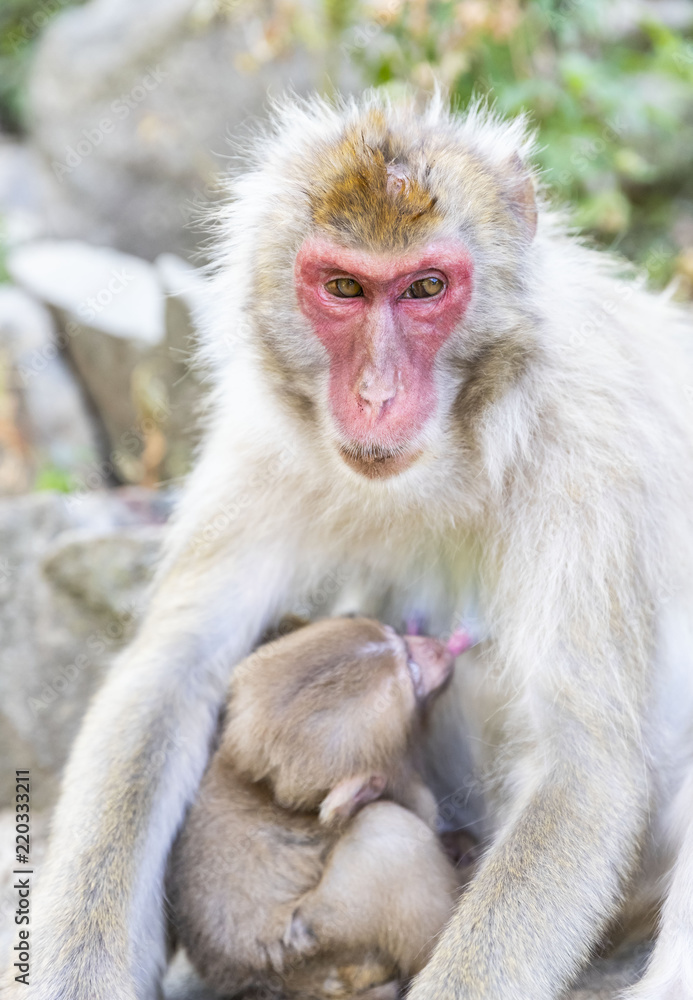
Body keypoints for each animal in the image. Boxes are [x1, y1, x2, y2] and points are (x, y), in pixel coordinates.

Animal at [170, 616, 464, 1000]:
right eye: (412, 677)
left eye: (393, 633)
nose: (439, 648)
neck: (267, 788)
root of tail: (270, 983)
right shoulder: (403, 786)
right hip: (324, 937)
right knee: (387, 833)